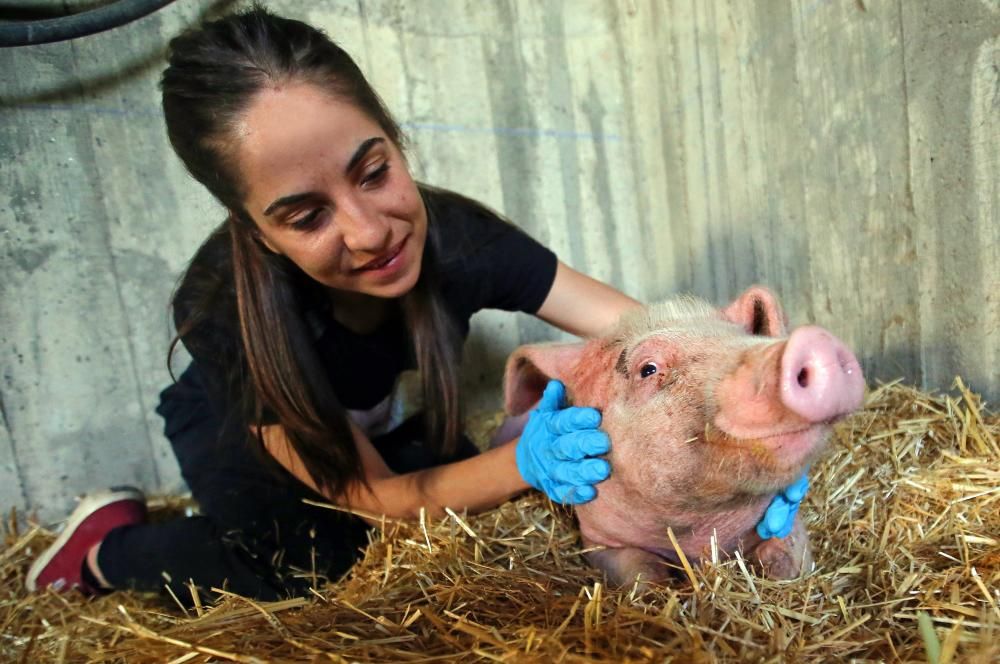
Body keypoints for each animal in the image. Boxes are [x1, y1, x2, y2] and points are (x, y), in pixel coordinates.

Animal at [504, 286, 864, 588]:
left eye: (742, 339)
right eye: (648, 369)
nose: (816, 340)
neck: (696, 535)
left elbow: (789, 556)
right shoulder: (599, 540)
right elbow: (642, 575)